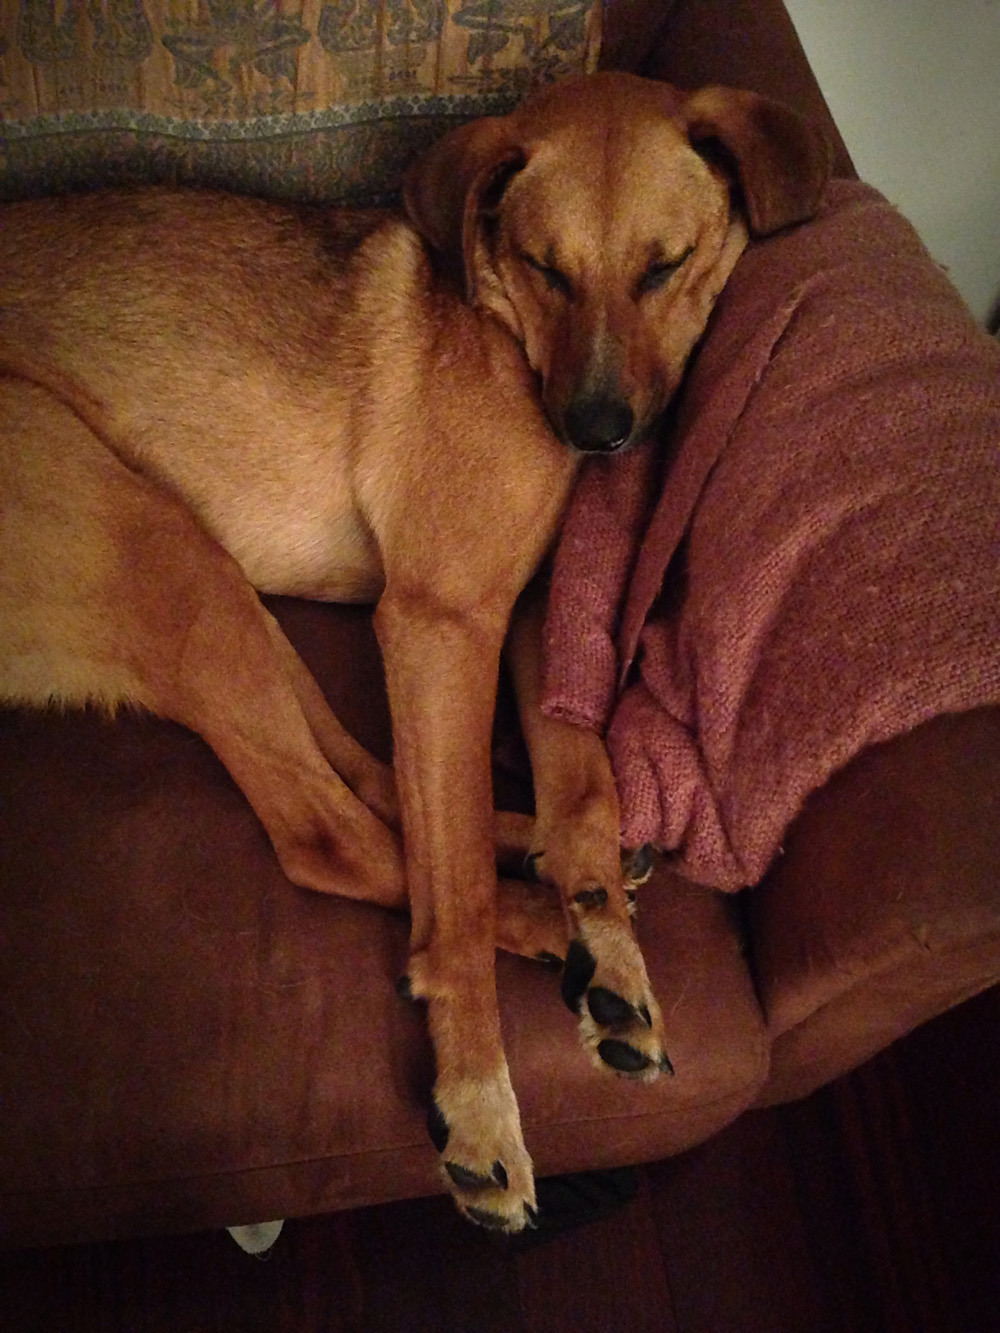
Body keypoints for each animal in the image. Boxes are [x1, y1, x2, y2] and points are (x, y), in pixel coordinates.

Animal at [0, 72, 832, 1226]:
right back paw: (530, 913)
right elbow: (453, 894)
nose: (597, 431)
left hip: (215, 581)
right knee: (330, 836)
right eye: (545, 266)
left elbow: (585, 789)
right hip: (151, 548)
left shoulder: (522, 615)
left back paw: (539, 868)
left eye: (664, 265)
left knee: (373, 778)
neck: (507, 331)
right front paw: (479, 1103)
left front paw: (603, 934)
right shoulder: (443, 620)